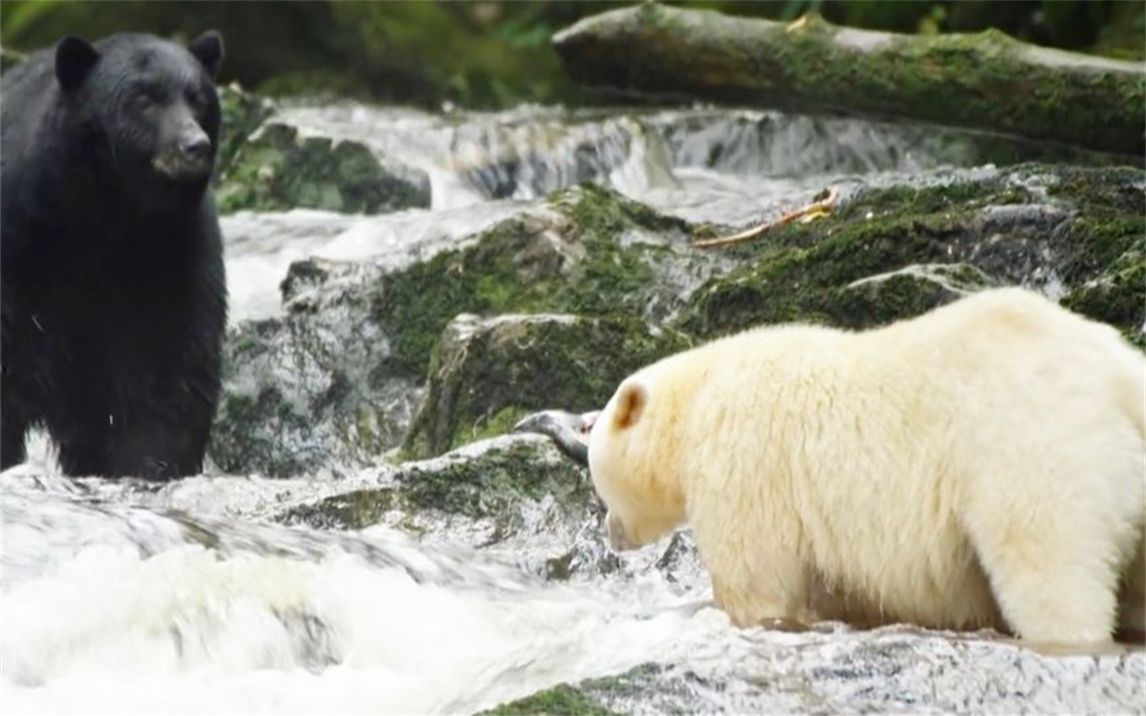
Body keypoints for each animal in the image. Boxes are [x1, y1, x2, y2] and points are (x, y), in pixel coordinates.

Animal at [1, 33, 230, 481]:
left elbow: (168, 371)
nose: (194, 145)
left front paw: (149, 467)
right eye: (144, 99)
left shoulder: (175, 254)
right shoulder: (17, 243)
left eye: (198, 99)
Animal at [591, 287, 1146, 646]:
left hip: (1033, 460)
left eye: (600, 482)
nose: (609, 533)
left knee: (1049, 573)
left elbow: (756, 582)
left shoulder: (742, 462)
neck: (699, 396)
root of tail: (1122, 382)